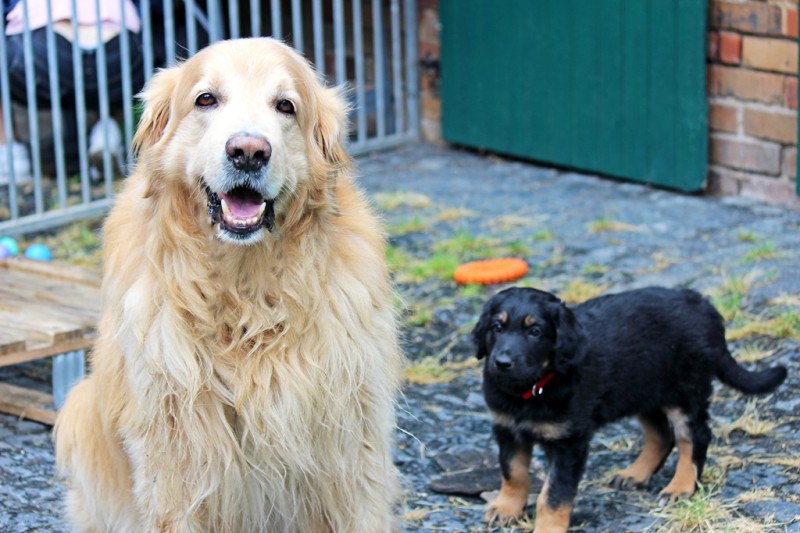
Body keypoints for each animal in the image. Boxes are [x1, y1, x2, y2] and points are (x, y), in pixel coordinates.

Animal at [54, 38, 401, 532]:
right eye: (206, 99)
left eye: (285, 106)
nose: (249, 152)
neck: (245, 292)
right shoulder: (174, 453)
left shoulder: (352, 439)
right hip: (80, 412)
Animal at [473, 286, 787, 532]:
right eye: (497, 328)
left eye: (535, 331)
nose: (501, 363)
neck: (530, 389)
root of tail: (704, 305)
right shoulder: (507, 430)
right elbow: (513, 473)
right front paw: (506, 508)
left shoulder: (569, 443)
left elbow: (553, 497)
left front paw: (546, 528)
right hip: (642, 392)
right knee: (662, 435)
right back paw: (635, 474)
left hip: (684, 392)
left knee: (694, 436)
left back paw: (680, 487)